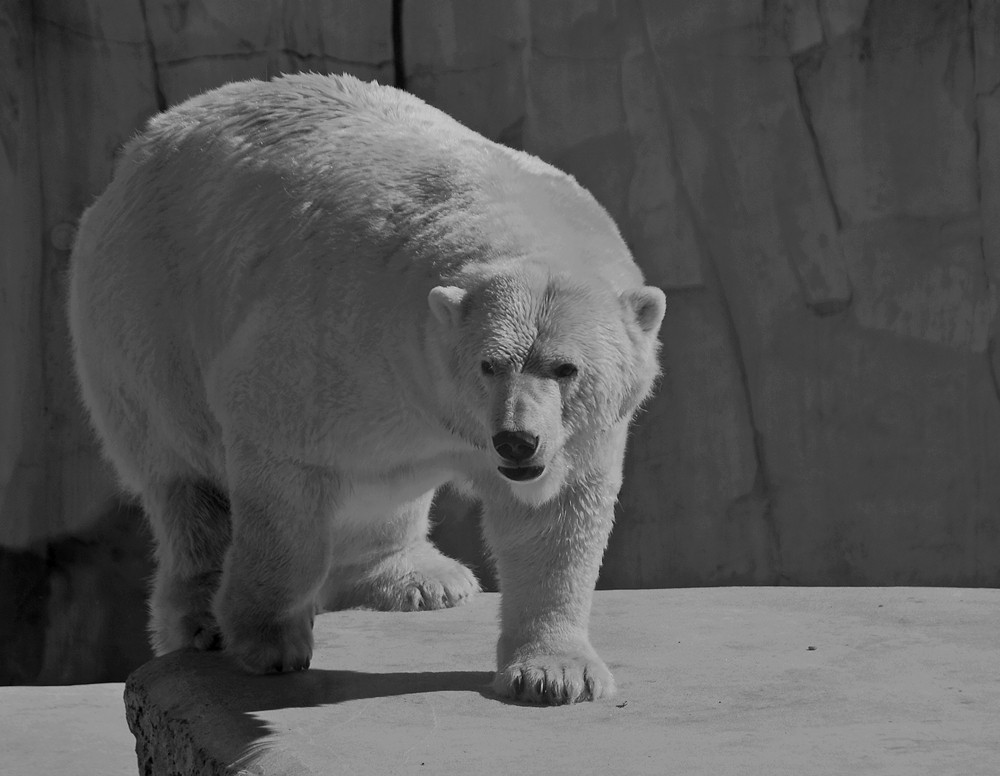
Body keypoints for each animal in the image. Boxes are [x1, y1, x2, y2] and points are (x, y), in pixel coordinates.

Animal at [68, 73, 664, 704]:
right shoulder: (338, 333)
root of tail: (140, 146)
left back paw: (420, 579)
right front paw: (267, 638)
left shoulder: (564, 432)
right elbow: (281, 459)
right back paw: (203, 619)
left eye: (566, 368)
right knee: (185, 478)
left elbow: (555, 516)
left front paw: (556, 674)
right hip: (145, 310)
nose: (516, 442)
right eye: (489, 365)